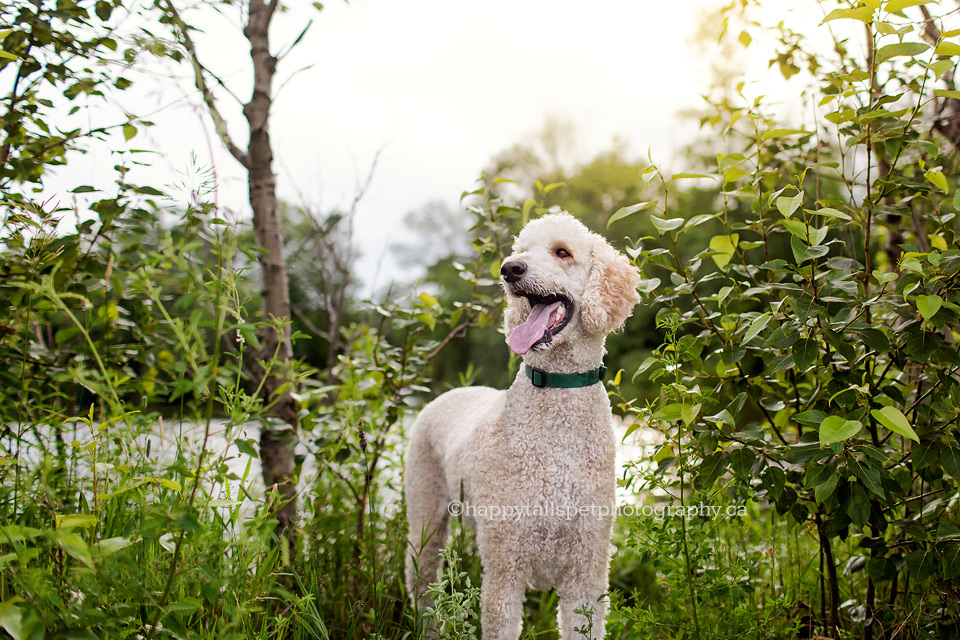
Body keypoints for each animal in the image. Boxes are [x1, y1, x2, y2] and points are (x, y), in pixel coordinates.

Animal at [404, 212, 636, 636]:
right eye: (521, 251)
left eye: (562, 252)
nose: (510, 269)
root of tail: (451, 391)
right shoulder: (504, 573)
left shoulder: (587, 573)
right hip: (426, 518)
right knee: (423, 586)